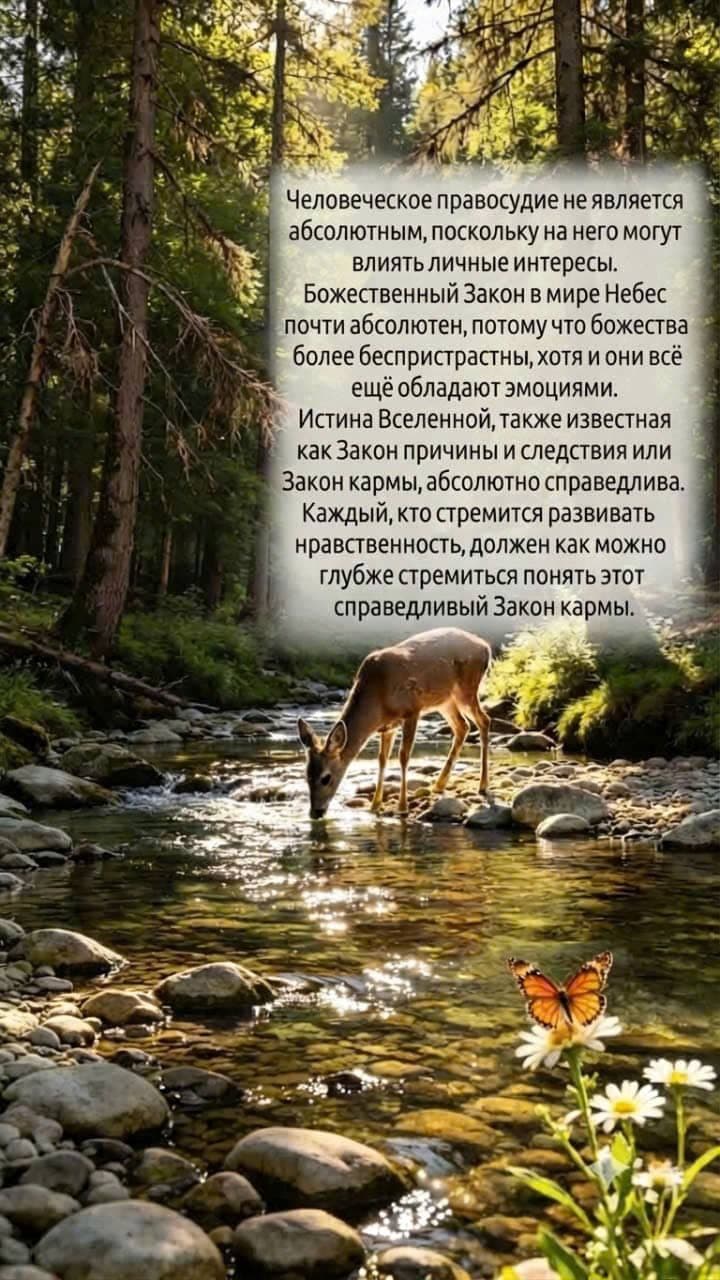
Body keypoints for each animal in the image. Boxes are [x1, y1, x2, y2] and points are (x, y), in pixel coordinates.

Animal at [298, 626, 492, 819]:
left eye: (326, 778)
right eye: (307, 775)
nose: (315, 813)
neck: (378, 698)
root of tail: (485, 646)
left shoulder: (412, 710)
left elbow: (403, 756)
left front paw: (402, 807)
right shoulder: (387, 727)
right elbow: (382, 759)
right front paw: (375, 806)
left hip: (466, 689)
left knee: (484, 720)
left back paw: (482, 786)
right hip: (444, 700)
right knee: (463, 726)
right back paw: (439, 785)